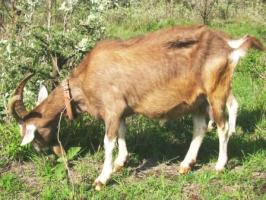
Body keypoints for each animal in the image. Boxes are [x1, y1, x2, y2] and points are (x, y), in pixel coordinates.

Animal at [8, 25, 264, 189]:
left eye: (30, 133)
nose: (42, 152)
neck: (86, 78)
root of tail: (229, 45)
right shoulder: (121, 110)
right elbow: (122, 133)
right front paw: (121, 163)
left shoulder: (112, 108)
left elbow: (108, 141)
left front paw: (102, 178)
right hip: (198, 100)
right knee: (200, 128)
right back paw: (185, 165)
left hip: (216, 91)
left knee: (222, 126)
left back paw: (219, 165)